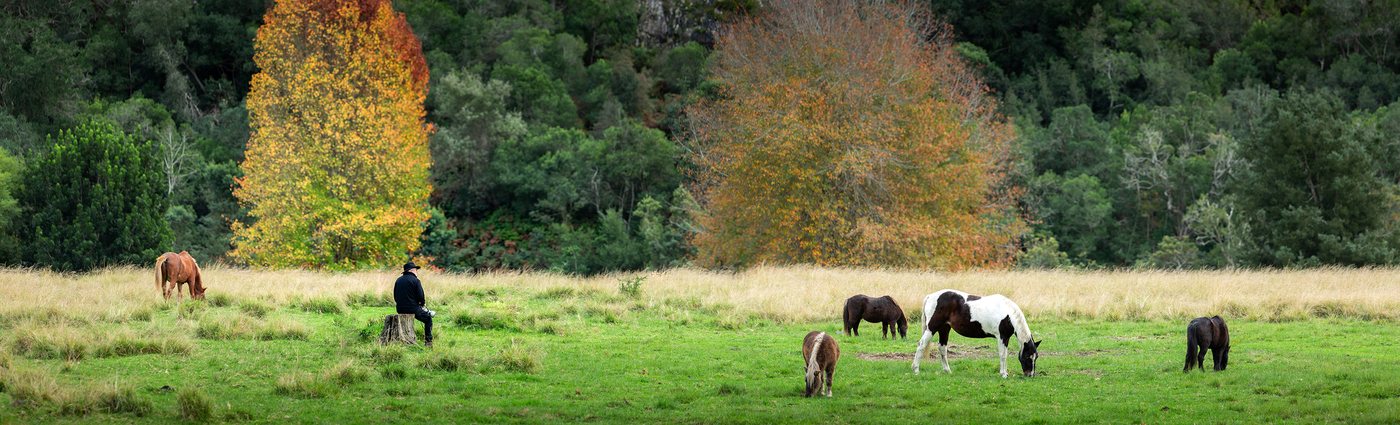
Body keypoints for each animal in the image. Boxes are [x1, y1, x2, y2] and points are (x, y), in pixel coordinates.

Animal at [912, 289, 1040, 378]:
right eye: (1028, 356)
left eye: (1036, 357)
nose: (1030, 375)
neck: (1008, 314)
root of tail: (930, 296)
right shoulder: (1002, 337)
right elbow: (1003, 355)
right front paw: (1004, 374)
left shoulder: (1005, 338)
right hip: (932, 328)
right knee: (922, 345)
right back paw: (916, 370)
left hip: (944, 329)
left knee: (942, 348)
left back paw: (947, 371)